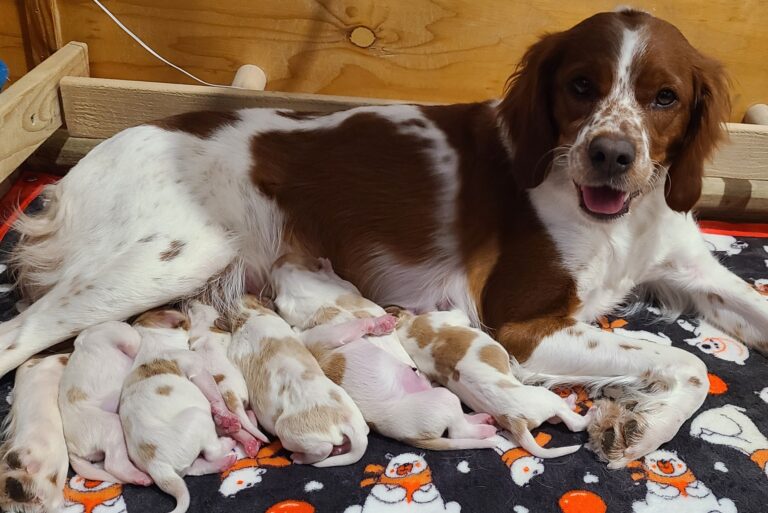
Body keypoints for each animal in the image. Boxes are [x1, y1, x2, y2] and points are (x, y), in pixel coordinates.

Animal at [58, 321, 151, 484]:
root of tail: (71, 450)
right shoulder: (123, 335)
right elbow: (135, 339)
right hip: (111, 425)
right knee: (114, 465)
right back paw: (140, 477)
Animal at [120, 309, 240, 513]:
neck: (151, 341)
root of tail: (157, 467)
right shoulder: (196, 366)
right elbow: (213, 393)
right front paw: (225, 414)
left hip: (182, 465)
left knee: (194, 468)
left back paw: (223, 463)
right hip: (199, 418)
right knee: (211, 452)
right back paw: (226, 443)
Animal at [227, 295, 369, 466]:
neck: (248, 313)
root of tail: (349, 422)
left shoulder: (235, 348)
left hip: (287, 431)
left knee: (323, 449)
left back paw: (298, 457)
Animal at [271, 255, 498, 451]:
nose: (279, 259)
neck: (321, 304)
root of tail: (410, 438)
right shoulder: (330, 332)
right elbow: (353, 321)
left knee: (461, 419)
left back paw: (482, 418)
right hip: (443, 398)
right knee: (458, 431)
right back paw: (485, 429)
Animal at [392, 308, 591, 457]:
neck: (406, 330)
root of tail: (514, 420)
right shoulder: (451, 315)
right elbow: (460, 313)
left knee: (558, 420)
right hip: (547, 398)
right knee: (574, 423)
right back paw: (581, 407)